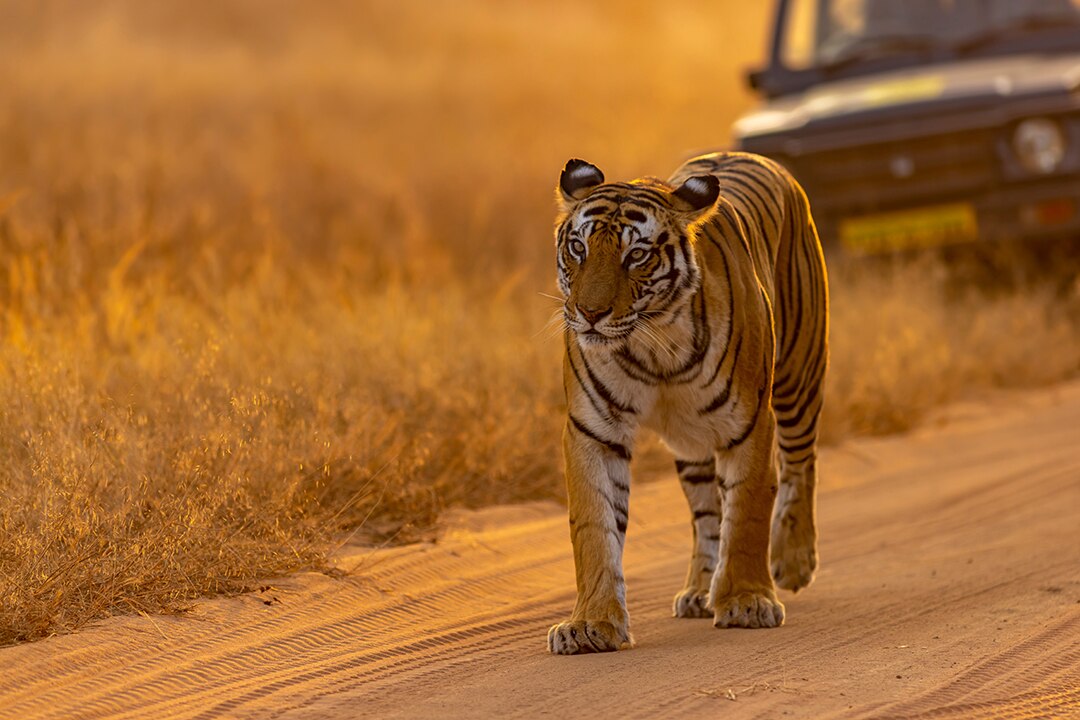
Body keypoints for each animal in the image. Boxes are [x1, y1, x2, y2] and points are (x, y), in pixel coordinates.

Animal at [546, 152, 828, 655]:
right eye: (578, 248)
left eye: (636, 255)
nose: (589, 314)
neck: (652, 345)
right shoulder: (593, 431)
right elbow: (595, 528)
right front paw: (591, 625)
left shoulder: (749, 422)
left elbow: (748, 511)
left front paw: (746, 601)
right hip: (691, 438)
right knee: (706, 512)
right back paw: (700, 590)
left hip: (799, 373)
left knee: (801, 464)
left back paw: (793, 561)